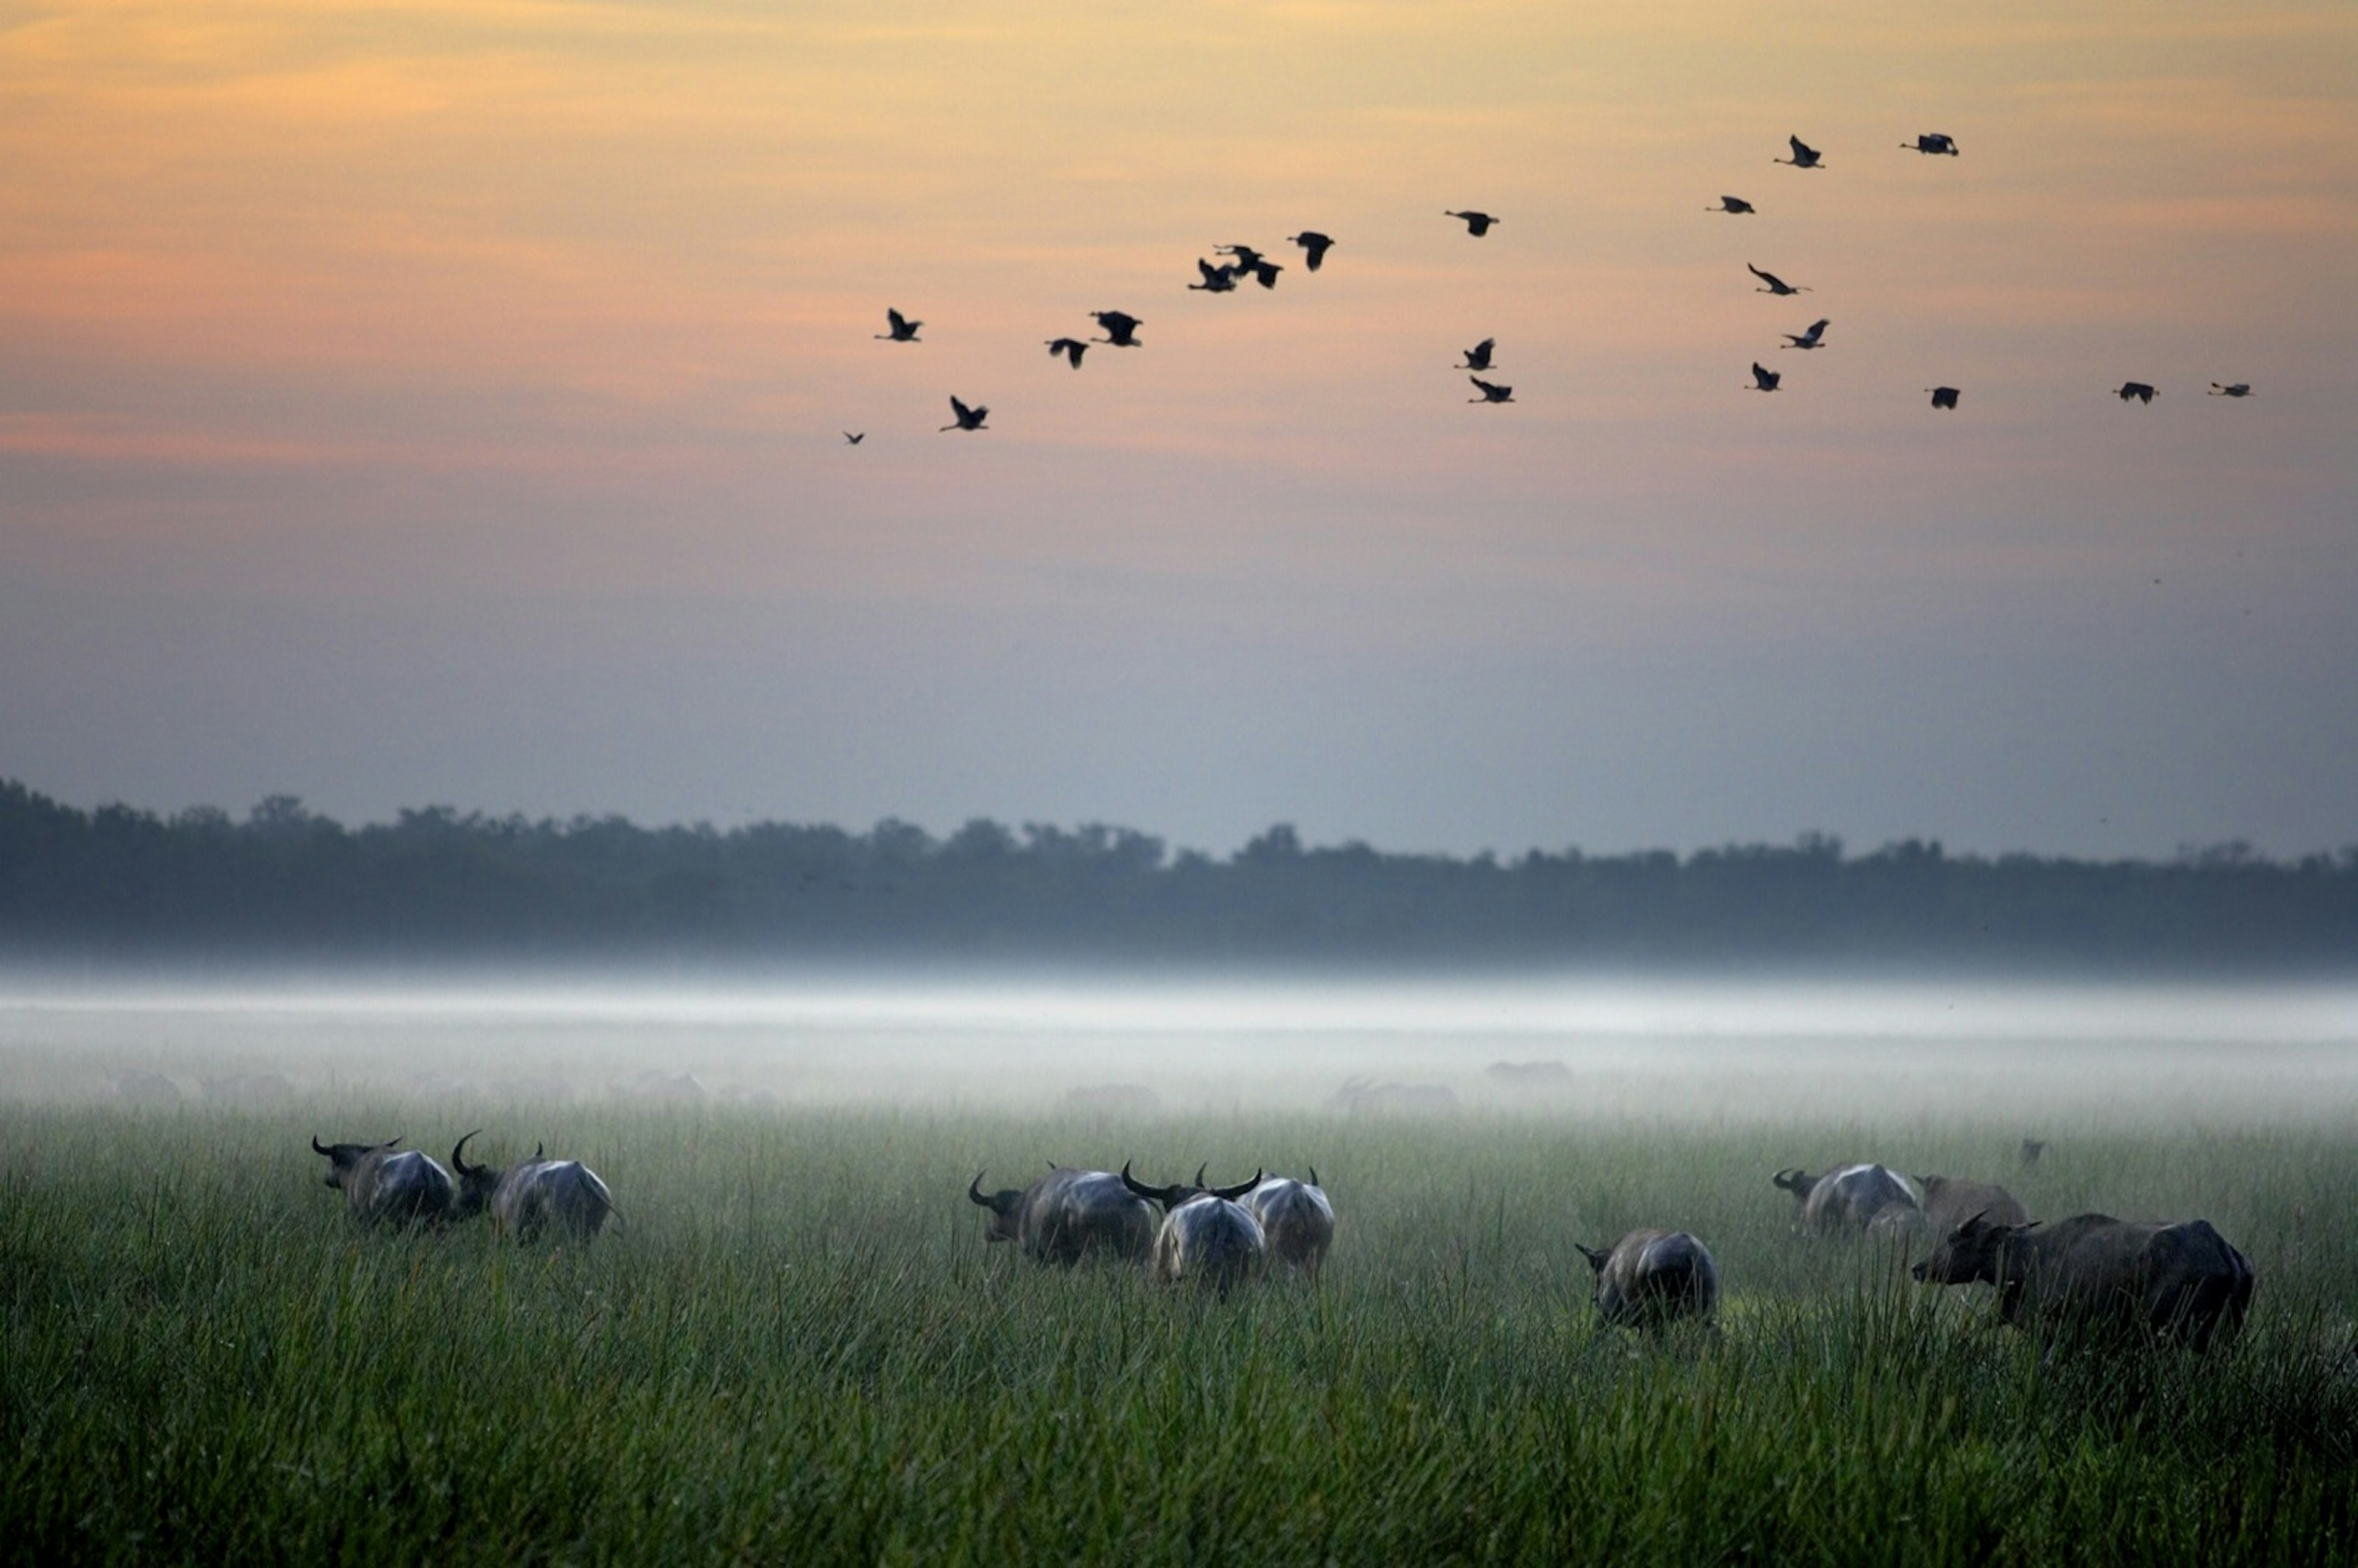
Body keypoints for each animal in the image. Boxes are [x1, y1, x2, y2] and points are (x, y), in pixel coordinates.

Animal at [967, 1165, 1156, 1265]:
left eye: (994, 1211)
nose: (988, 1233)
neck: (1024, 1207)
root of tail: (1128, 1195)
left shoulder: (1036, 1256)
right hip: (1140, 1254)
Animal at [1574, 1229, 1719, 1328]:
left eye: (1596, 1270)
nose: (1595, 1298)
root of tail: (1691, 1254)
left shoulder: (1609, 1313)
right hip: (1705, 1310)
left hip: (1657, 1313)